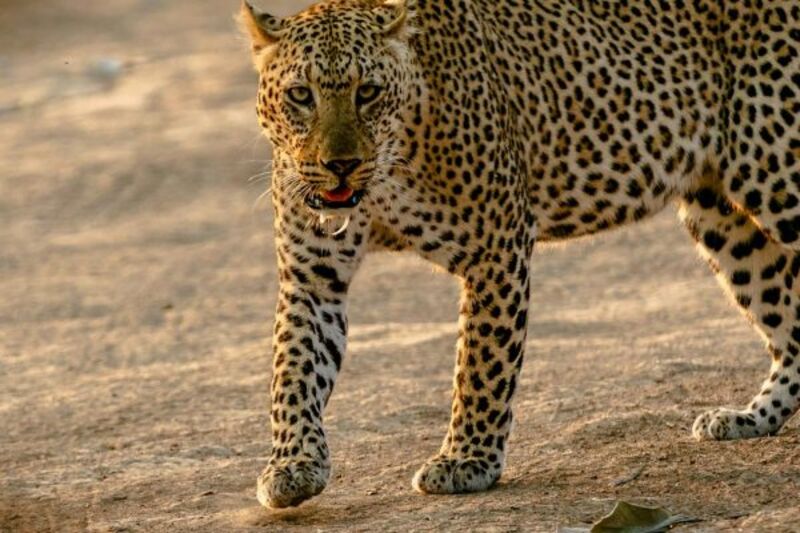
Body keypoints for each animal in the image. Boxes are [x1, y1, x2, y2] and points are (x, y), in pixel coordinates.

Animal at [239, 0, 800, 509]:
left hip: (777, 176)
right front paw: (292, 465)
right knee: (788, 323)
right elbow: (293, 370)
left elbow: (481, 364)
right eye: (300, 95)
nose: (340, 165)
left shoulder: (496, 246)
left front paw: (466, 460)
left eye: (368, 92)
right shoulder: (312, 276)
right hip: (720, 214)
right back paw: (749, 418)